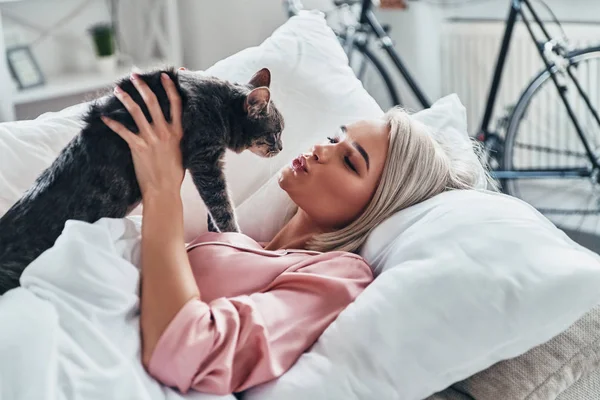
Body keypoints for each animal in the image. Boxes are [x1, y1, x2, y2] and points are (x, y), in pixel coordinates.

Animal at [0, 67, 284, 296]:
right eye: (276, 133)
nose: (281, 148)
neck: (218, 104)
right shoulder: (206, 161)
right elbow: (222, 207)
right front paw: (236, 239)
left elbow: (213, 209)